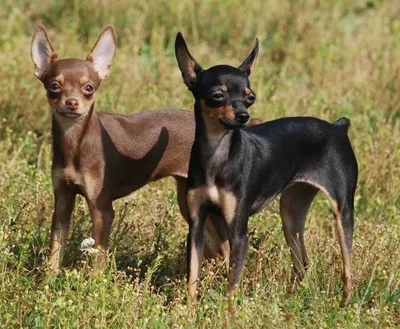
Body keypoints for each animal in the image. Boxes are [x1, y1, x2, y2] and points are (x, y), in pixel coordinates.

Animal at [176, 32, 360, 302]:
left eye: (250, 97)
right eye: (218, 95)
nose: (243, 116)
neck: (218, 154)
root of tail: (338, 127)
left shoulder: (238, 233)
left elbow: (231, 285)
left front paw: (227, 311)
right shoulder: (197, 224)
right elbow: (192, 278)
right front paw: (188, 309)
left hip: (342, 212)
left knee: (348, 269)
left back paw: (345, 304)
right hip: (291, 213)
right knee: (303, 263)